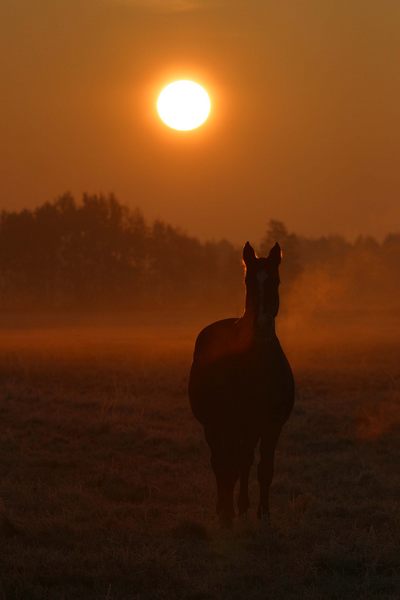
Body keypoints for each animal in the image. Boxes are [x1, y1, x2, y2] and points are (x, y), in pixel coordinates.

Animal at [188, 241, 294, 528]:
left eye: (276, 280)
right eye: (249, 281)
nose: (262, 325)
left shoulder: (270, 425)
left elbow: (263, 468)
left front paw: (263, 514)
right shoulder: (228, 423)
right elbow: (227, 465)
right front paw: (227, 512)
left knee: (242, 462)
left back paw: (240, 506)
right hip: (216, 426)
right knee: (221, 462)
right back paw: (225, 509)